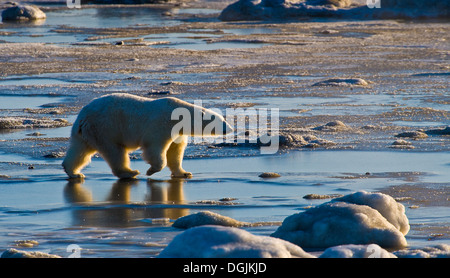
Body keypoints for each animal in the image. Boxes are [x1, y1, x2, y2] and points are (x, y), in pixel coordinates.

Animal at [62, 93, 232, 179]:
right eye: (220, 121)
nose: (229, 128)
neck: (178, 116)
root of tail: (83, 118)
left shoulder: (177, 133)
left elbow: (175, 152)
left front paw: (184, 173)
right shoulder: (160, 126)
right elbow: (156, 149)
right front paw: (151, 170)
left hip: (86, 133)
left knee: (80, 151)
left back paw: (74, 172)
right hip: (105, 129)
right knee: (115, 152)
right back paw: (130, 172)